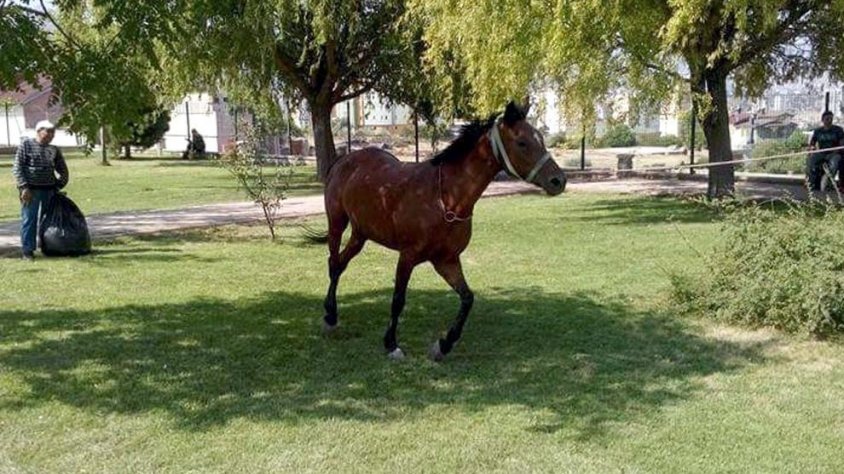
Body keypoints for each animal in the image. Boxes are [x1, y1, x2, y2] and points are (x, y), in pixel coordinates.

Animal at [324, 99, 568, 360]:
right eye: (522, 142)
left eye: (540, 137)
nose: (558, 181)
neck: (445, 197)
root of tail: (344, 161)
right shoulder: (407, 256)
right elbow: (398, 299)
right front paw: (391, 344)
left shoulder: (446, 260)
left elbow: (467, 298)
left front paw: (444, 344)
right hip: (337, 224)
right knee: (333, 262)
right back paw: (330, 316)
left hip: (361, 234)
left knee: (340, 264)